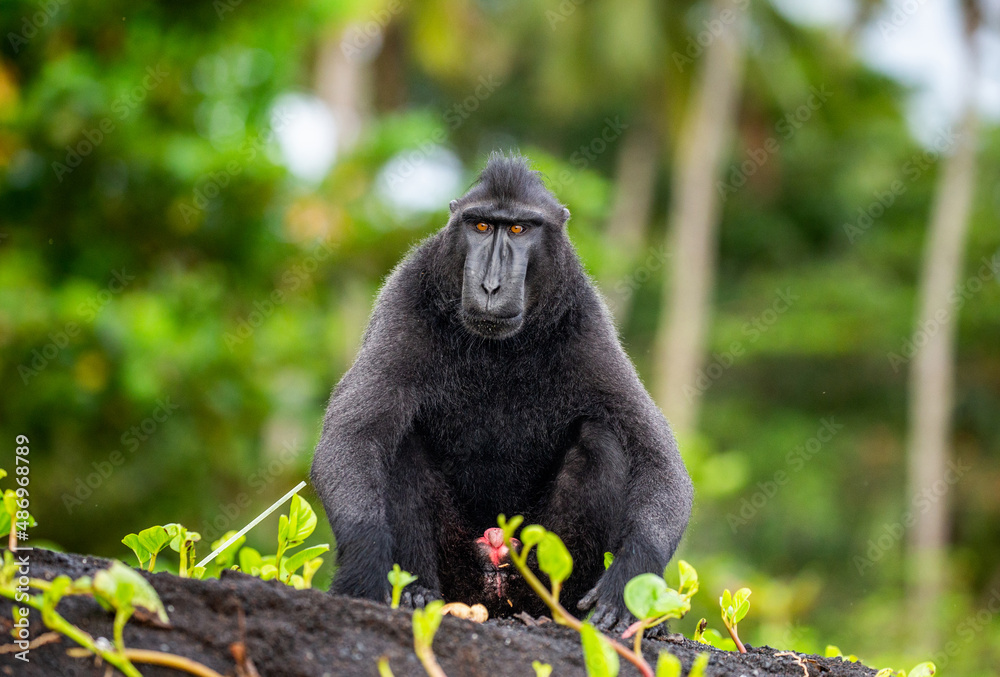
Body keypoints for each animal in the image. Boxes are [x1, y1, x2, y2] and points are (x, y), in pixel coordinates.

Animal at [311, 152, 692, 633]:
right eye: (480, 226)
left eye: (518, 229)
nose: (490, 286)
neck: (499, 347)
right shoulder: (404, 300)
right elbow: (352, 439)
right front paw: (363, 570)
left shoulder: (586, 323)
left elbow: (658, 458)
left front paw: (630, 578)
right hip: (459, 566)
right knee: (397, 442)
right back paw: (417, 593)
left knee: (602, 438)